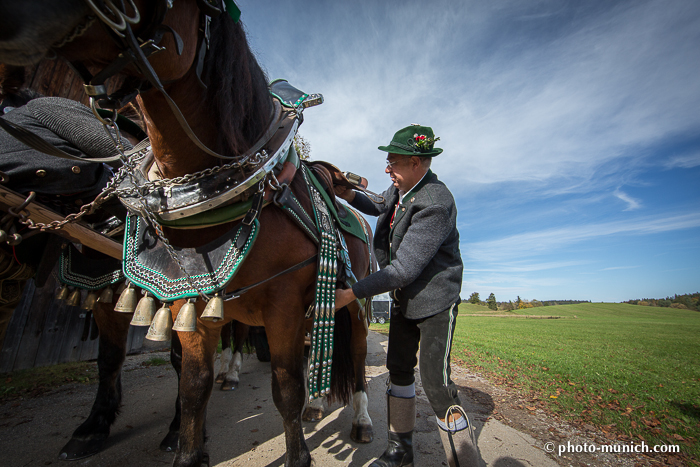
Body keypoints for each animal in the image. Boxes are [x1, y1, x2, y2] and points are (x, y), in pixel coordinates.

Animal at [0, 0, 372, 467]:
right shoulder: (186, 301)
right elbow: (190, 384)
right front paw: (177, 442)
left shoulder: (283, 307)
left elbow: (286, 387)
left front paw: (298, 454)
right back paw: (317, 405)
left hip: (355, 302)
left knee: (357, 356)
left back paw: (361, 419)